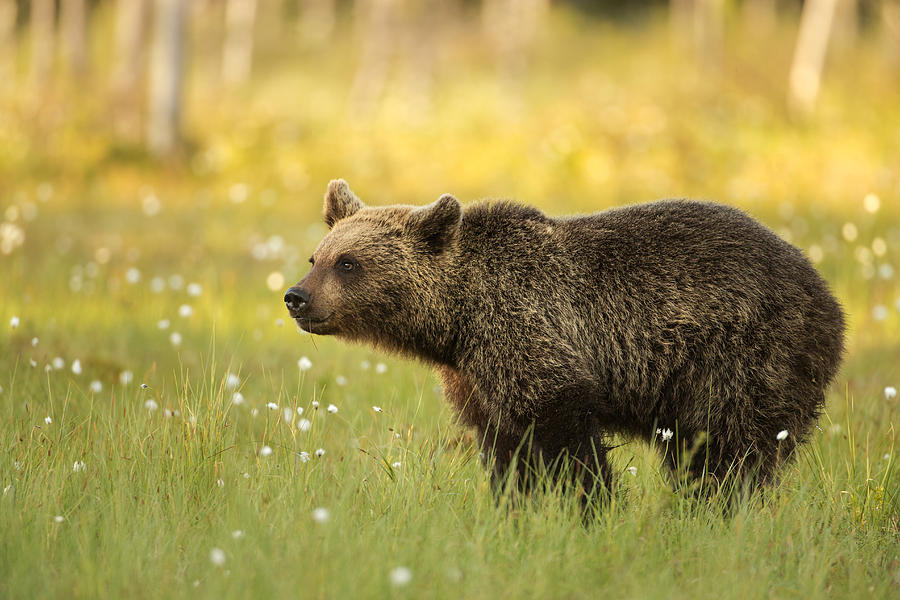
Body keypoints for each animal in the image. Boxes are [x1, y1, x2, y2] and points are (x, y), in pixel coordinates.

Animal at [284, 180, 848, 500]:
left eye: (348, 263)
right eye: (317, 256)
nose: (295, 297)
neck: (458, 319)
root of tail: (829, 297)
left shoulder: (529, 330)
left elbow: (565, 434)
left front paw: (589, 505)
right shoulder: (475, 374)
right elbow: (504, 446)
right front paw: (516, 507)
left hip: (745, 354)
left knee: (731, 450)